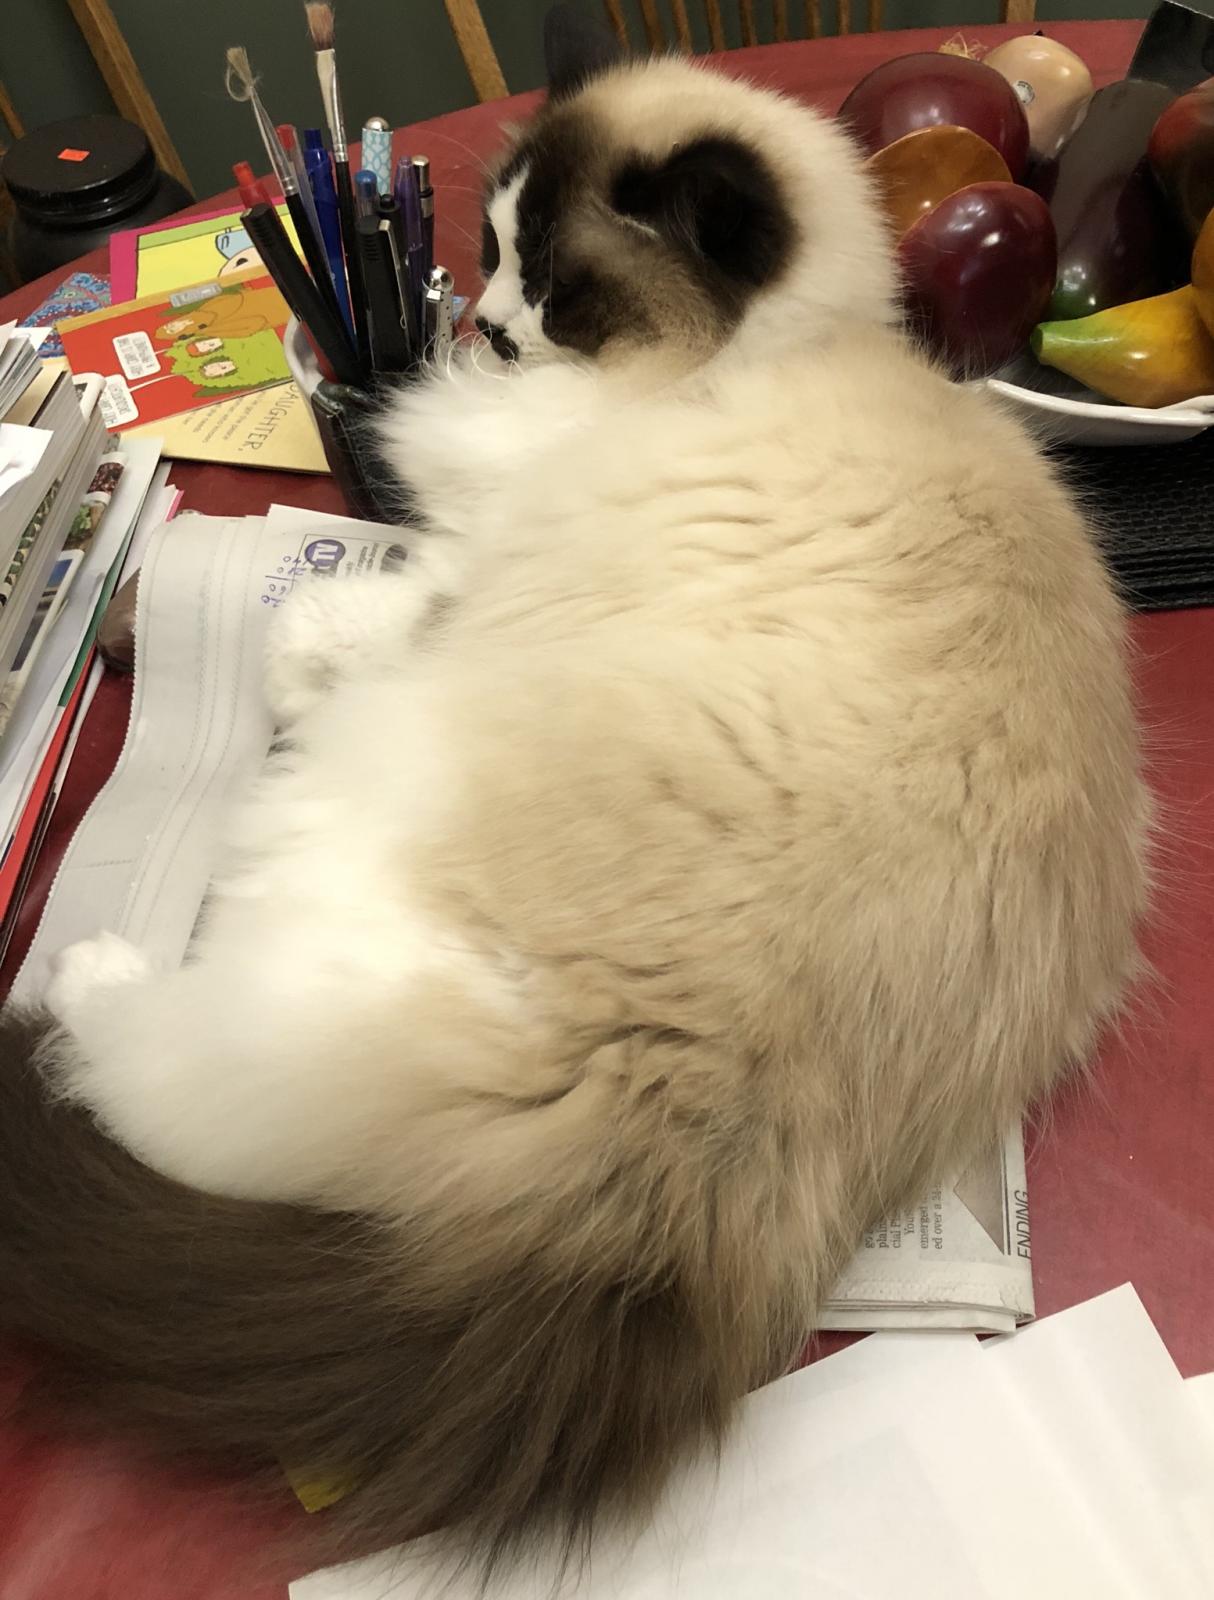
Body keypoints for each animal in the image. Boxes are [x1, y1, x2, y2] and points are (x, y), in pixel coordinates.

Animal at [0, 10, 1147, 1584]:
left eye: (551, 285)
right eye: (483, 251)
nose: (482, 327)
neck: (761, 355)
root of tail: (698, 1160)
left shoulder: (494, 554)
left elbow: (373, 608)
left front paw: (291, 650)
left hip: (343, 824)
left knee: (161, 1070)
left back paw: (84, 980)